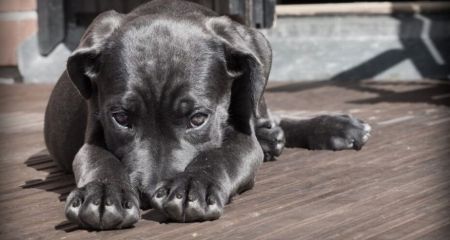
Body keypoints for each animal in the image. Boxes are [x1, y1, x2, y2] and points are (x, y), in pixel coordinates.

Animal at [44, 0, 370, 230]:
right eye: (121, 118)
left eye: (198, 119)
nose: (149, 194)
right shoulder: (93, 133)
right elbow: (99, 159)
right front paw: (102, 194)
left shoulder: (242, 138)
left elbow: (221, 155)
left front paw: (193, 186)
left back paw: (332, 127)